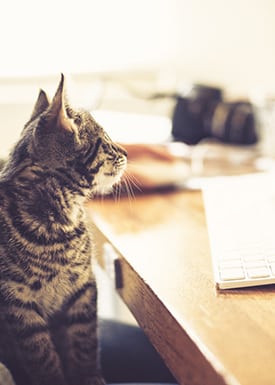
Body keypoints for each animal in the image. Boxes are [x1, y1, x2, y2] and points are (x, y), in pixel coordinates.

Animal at [0, 75, 128, 384]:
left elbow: (85, 344)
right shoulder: (18, 307)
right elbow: (42, 358)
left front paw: (89, 377)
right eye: (106, 142)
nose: (126, 152)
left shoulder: (83, 288)